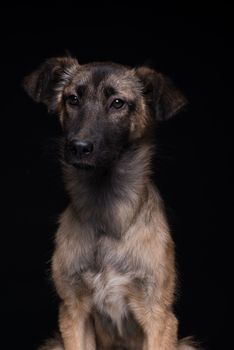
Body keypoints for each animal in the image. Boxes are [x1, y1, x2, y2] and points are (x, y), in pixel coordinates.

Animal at [23, 57, 197, 350]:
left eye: (118, 103)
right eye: (72, 99)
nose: (79, 147)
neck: (106, 214)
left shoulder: (158, 316)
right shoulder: (74, 312)